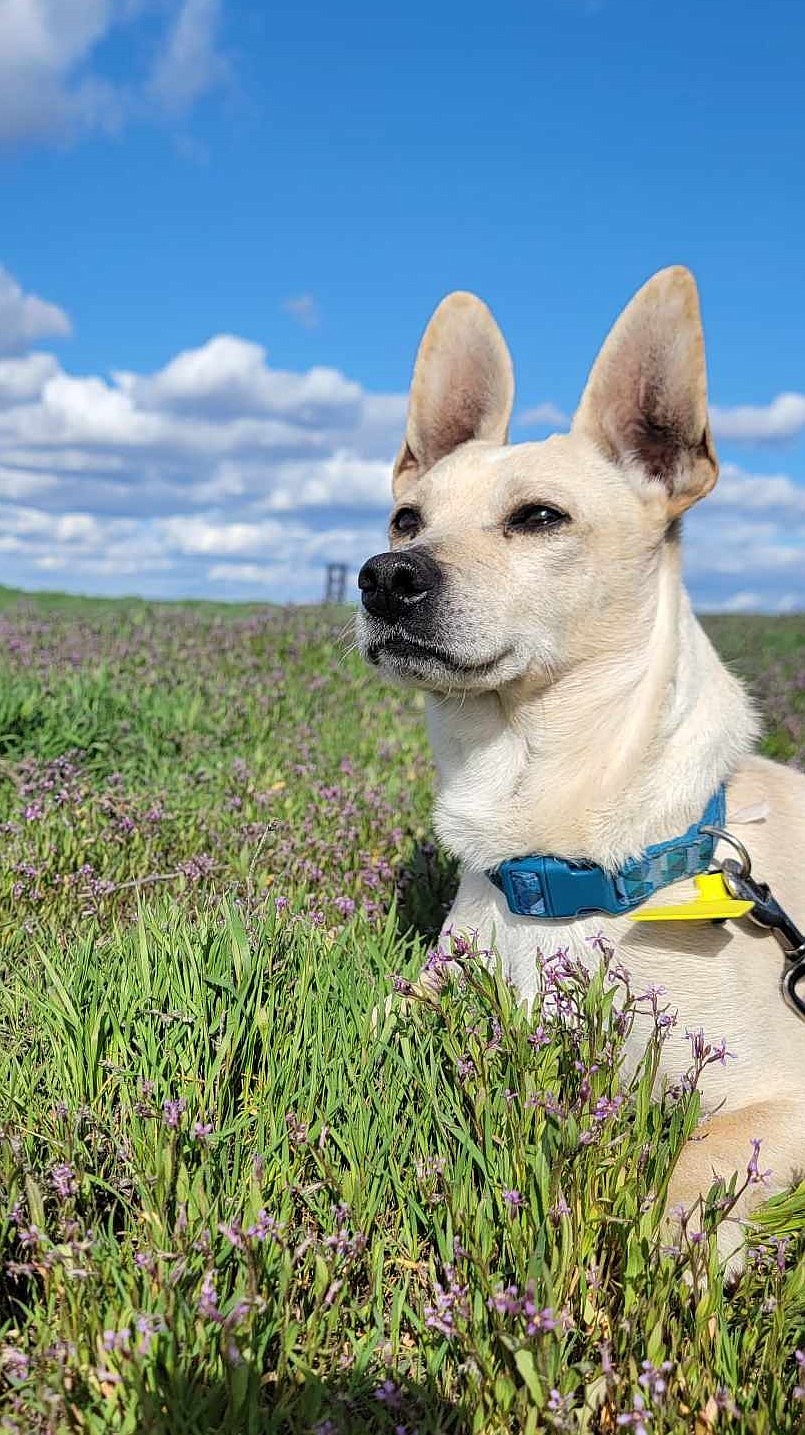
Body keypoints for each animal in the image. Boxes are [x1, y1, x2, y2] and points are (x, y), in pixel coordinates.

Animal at [357, 266, 803, 1257]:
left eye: (538, 517)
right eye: (405, 518)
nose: (384, 576)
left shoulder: (782, 1093)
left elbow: (684, 1179)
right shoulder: (418, 1005)